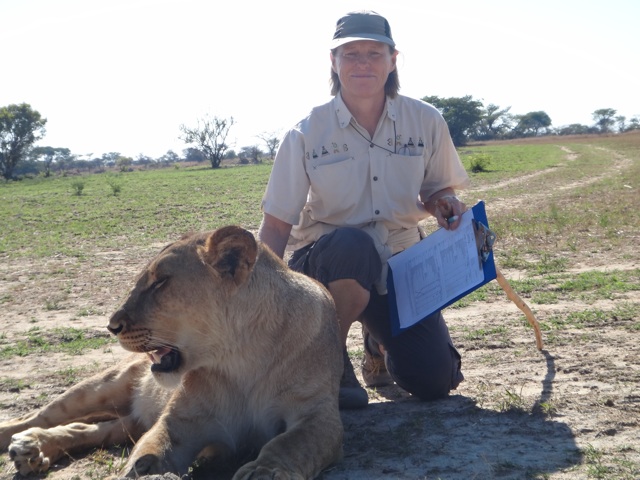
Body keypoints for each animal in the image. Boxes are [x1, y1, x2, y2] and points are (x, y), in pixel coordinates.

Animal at [0, 226, 344, 479]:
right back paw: (22, 441)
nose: (111, 326)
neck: (240, 359)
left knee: (88, 429)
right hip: (102, 386)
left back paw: (34, 451)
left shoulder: (318, 413)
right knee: (42, 415)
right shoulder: (179, 421)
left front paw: (263, 471)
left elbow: (290, 444)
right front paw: (146, 471)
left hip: (129, 422)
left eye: (160, 282)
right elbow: (151, 448)